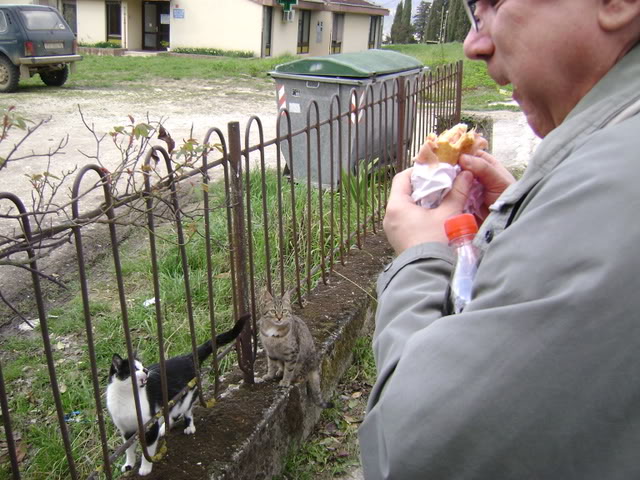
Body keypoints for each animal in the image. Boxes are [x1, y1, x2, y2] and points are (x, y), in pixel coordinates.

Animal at [106, 316, 249, 476]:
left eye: (143, 367)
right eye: (135, 369)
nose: (147, 370)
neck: (127, 397)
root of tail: (188, 357)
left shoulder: (150, 425)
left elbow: (147, 450)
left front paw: (145, 469)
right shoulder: (126, 430)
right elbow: (129, 450)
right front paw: (128, 465)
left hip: (185, 396)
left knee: (184, 411)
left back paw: (185, 427)